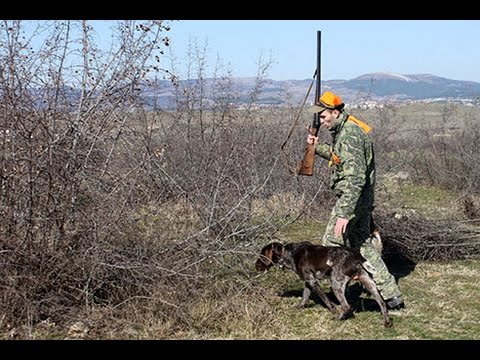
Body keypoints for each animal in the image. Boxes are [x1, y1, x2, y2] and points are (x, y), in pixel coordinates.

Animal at [256, 240, 392, 328]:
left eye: (262, 255)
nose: (256, 266)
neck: (289, 253)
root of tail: (356, 256)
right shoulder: (308, 282)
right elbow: (304, 296)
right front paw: (300, 306)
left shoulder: (313, 282)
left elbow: (327, 301)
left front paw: (333, 311)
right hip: (368, 282)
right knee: (382, 303)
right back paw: (387, 322)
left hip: (336, 284)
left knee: (346, 307)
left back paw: (338, 318)